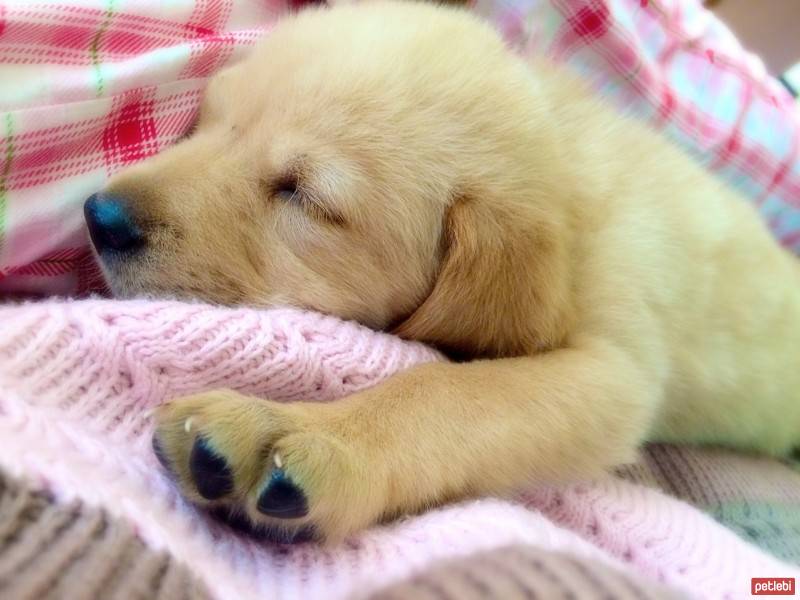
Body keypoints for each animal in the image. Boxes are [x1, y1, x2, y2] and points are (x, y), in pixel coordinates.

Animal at [83, 0, 800, 544]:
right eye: (212, 121)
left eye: (304, 197)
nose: (99, 216)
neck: (567, 186)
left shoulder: (613, 370)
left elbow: (448, 394)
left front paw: (308, 437)